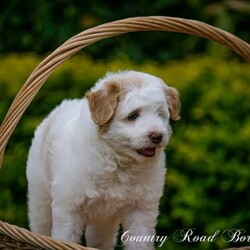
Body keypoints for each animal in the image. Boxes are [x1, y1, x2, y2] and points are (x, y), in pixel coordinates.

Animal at [26, 69, 181, 249]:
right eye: (133, 115)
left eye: (160, 114)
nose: (157, 136)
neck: (118, 161)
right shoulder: (68, 207)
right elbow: (65, 237)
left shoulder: (141, 210)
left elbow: (139, 241)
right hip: (40, 197)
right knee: (41, 224)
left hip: (103, 222)